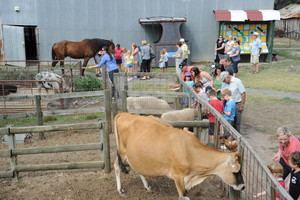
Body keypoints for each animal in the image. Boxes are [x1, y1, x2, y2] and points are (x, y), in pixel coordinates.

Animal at [113, 113, 245, 199]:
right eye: (236, 172)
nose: (243, 187)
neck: (189, 152)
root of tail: (122, 114)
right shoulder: (178, 177)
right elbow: (183, 197)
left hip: (134, 155)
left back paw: (147, 186)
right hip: (122, 154)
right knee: (116, 166)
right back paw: (120, 190)